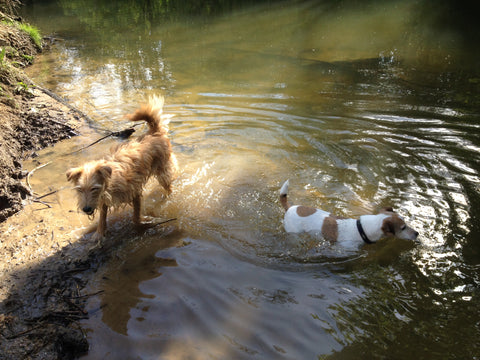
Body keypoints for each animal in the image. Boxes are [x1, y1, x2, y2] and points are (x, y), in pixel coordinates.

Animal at [66, 95, 178, 248]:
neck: (110, 183)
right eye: (79, 189)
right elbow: (102, 217)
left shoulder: (135, 192)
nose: (86, 209)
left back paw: (167, 197)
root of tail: (154, 132)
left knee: (168, 186)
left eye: (94, 188)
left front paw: (144, 222)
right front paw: (99, 234)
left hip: (163, 171)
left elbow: (136, 216)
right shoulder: (103, 200)